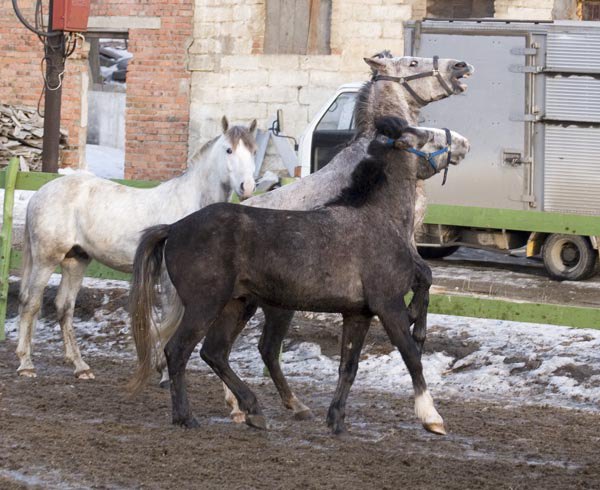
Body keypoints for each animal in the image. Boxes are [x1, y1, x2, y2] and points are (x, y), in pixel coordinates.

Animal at [17, 116, 256, 378]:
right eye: (229, 150)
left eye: (253, 150)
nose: (247, 187)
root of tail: (40, 193)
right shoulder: (169, 279)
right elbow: (170, 320)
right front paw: (164, 372)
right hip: (46, 260)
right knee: (31, 303)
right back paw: (26, 364)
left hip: (75, 261)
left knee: (64, 307)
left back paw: (80, 367)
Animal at [129, 118, 472, 436]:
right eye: (425, 136)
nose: (463, 144)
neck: (377, 219)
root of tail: (174, 228)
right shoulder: (388, 306)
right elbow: (412, 355)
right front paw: (431, 418)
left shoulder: (358, 314)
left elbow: (349, 367)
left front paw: (336, 421)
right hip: (207, 305)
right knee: (178, 351)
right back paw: (187, 417)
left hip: (236, 305)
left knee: (214, 352)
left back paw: (254, 411)